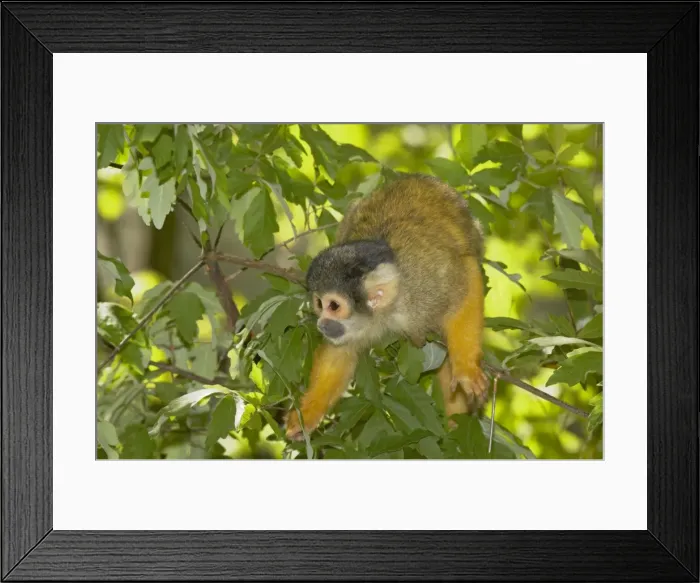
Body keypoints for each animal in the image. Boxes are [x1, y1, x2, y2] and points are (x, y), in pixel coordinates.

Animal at [284, 173, 488, 441]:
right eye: (319, 304)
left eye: (334, 306)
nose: (322, 323)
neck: (389, 310)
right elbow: (340, 352)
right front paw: (307, 413)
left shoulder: (425, 285)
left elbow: (466, 277)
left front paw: (465, 368)